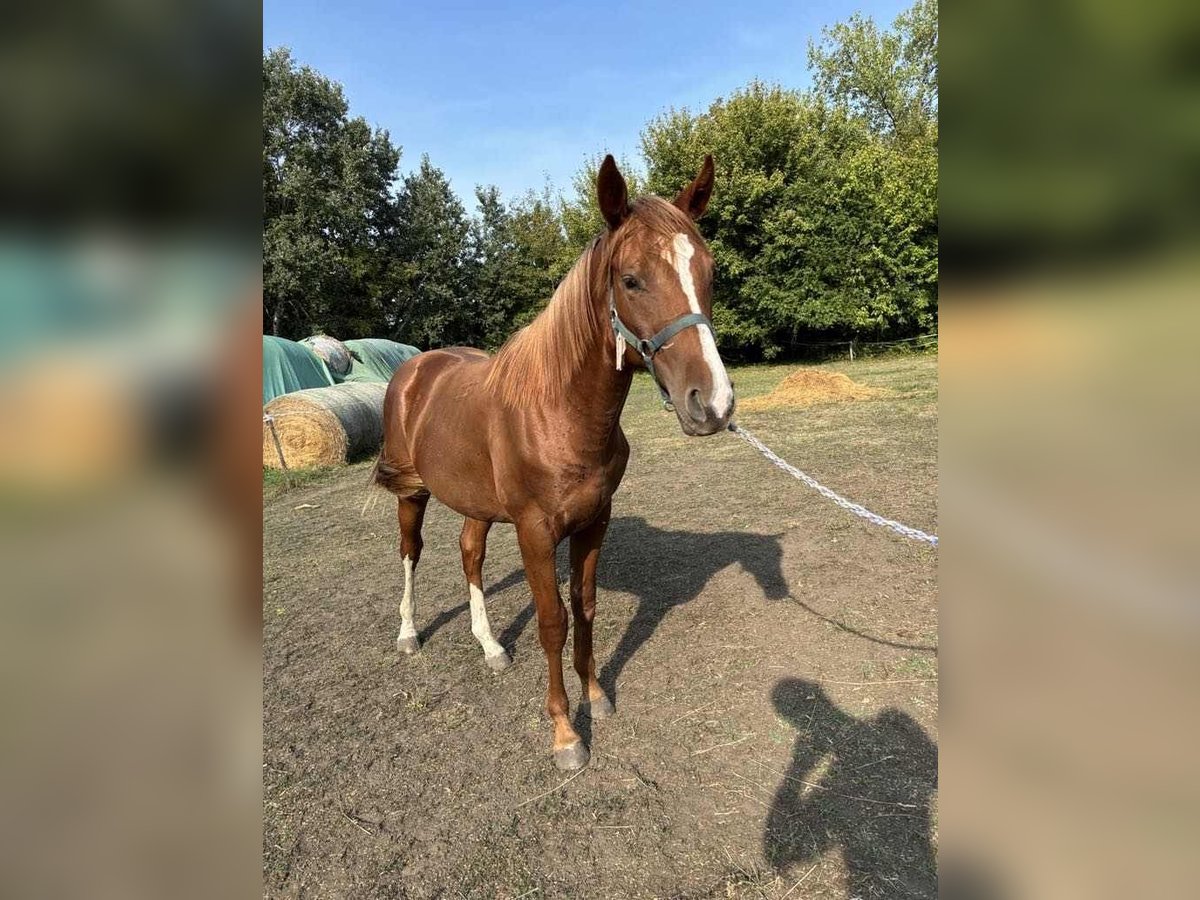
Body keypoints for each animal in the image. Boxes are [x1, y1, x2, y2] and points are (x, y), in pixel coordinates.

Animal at [372, 153, 729, 768]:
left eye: (708, 273)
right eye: (631, 280)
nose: (712, 403)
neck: (559, 413)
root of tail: (415, 369)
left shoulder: (594, 521)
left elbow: (584, 606)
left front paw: (597, 696)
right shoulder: (535, 532)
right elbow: (552, 621)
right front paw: (565, 732)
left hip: (476, 504)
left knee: (469, 555)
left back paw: (491, 646)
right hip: (412, 493)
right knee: (410, 553)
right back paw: (409, 634)